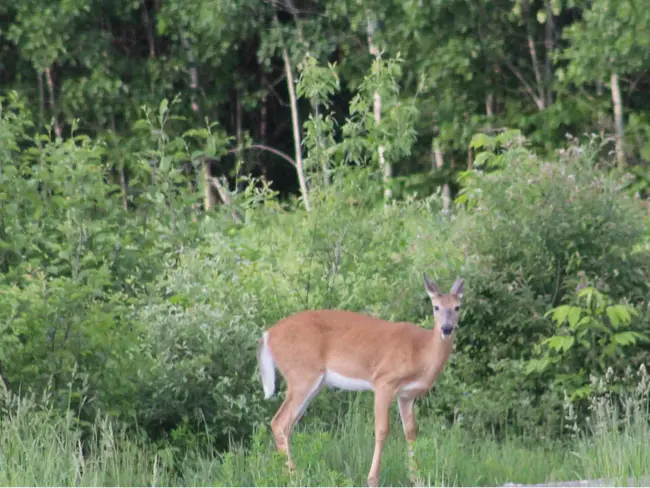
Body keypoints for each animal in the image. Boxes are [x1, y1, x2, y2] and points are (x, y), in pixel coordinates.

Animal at [256, 272, 464, 486]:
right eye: (436, 306)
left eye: (457, 306)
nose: (447, 328)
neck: (421, 352)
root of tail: (267, 335)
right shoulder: (384, 381)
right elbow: (382, 430)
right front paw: (372, 479)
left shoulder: (406, 395)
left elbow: (411, 432)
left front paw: (416, 477)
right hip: (302, 374)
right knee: (279, 422)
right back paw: (294, 476)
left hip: (313, 382)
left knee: (287, 425)